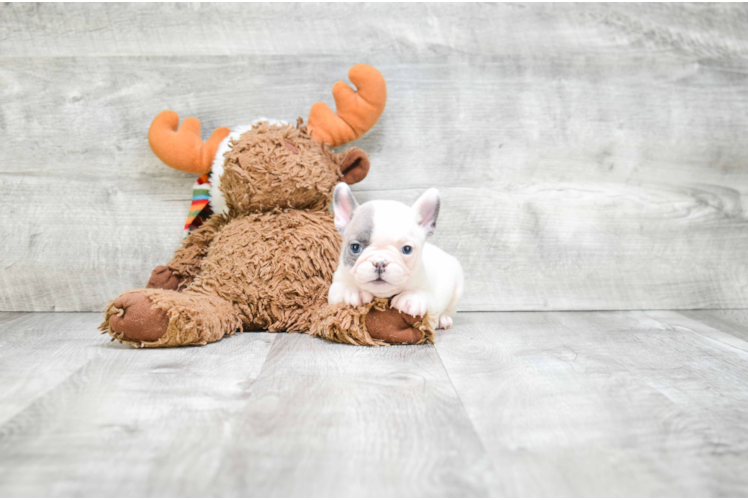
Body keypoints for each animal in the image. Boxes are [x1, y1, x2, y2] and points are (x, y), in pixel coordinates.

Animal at [328, 183, 462, 328]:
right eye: (355, 247)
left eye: (407, 249)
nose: (380, 262)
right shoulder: (334, 288)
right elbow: (340, 288)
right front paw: (354, 290)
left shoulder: (432, 306)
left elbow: (424, 297)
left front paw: (411, 298)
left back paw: (444, 319)